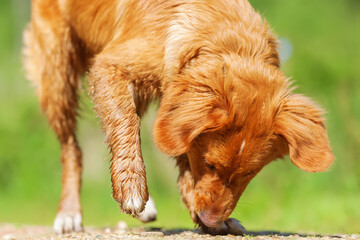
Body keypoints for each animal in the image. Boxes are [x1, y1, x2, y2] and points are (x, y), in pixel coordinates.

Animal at [23, 0, 334, 235]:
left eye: (249, 173)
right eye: (210, 164)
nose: (211, 218)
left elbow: (183, 155)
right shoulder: (109, 65)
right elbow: (125, 122)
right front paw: (131, 186)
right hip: (57, 71)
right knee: (71, 148)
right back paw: (69, 213)